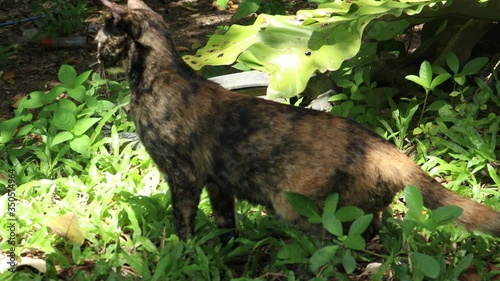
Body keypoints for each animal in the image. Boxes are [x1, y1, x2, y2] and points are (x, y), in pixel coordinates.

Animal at [95, 0, 498, 241]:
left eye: (100, 42)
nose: (96, 62)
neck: (160, 79)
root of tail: (385, 149)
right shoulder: (218, 184)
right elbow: (226, 223)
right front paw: (226, 251)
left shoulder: (184, 177)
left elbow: (183, 222)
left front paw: (182, 250)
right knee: (374, 223)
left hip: (296, 205)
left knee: (348, 239)